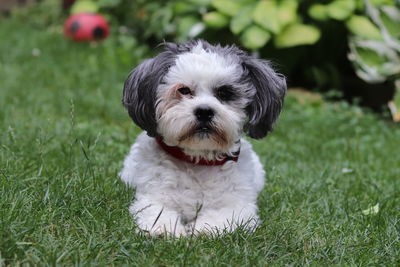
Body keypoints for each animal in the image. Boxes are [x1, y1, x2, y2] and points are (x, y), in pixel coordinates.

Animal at [120, 39, 286, 237]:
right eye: (184, 90)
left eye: (224, 93)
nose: (205, 111)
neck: (198, 161)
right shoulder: (152, 197)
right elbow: (157, 212)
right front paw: (167, 230)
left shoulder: (239, 207)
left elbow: (221, 217)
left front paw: (200, 230)